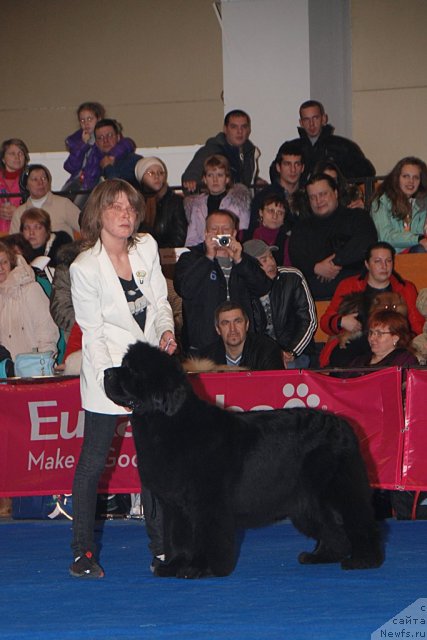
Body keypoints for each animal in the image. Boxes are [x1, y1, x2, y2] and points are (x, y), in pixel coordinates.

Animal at [104, 342, 384, 576]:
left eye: (132, 370)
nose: (106, 372)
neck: (166, 422)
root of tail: (343, 424)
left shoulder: (207, 501)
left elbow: (207, 535)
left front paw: (203, 568)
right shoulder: (175, 505)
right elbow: (177, 537)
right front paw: (174, 566)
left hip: (337, 490)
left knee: (359, 520)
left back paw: (364, 560)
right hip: (306, 501)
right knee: (332, 527)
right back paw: (322, 556)